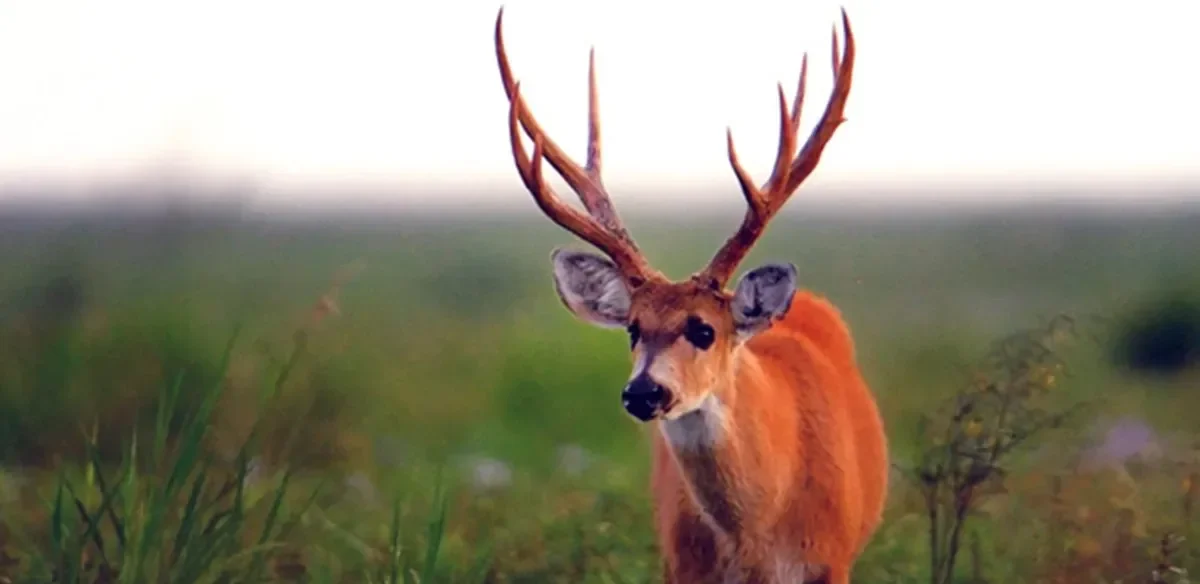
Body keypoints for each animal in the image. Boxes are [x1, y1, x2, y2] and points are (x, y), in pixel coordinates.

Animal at [493, 7, 888, 583]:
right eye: (632, 330)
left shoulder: (830, 560)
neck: (756, 539)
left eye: (703, 329)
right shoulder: (681, 565)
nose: (643, 392)